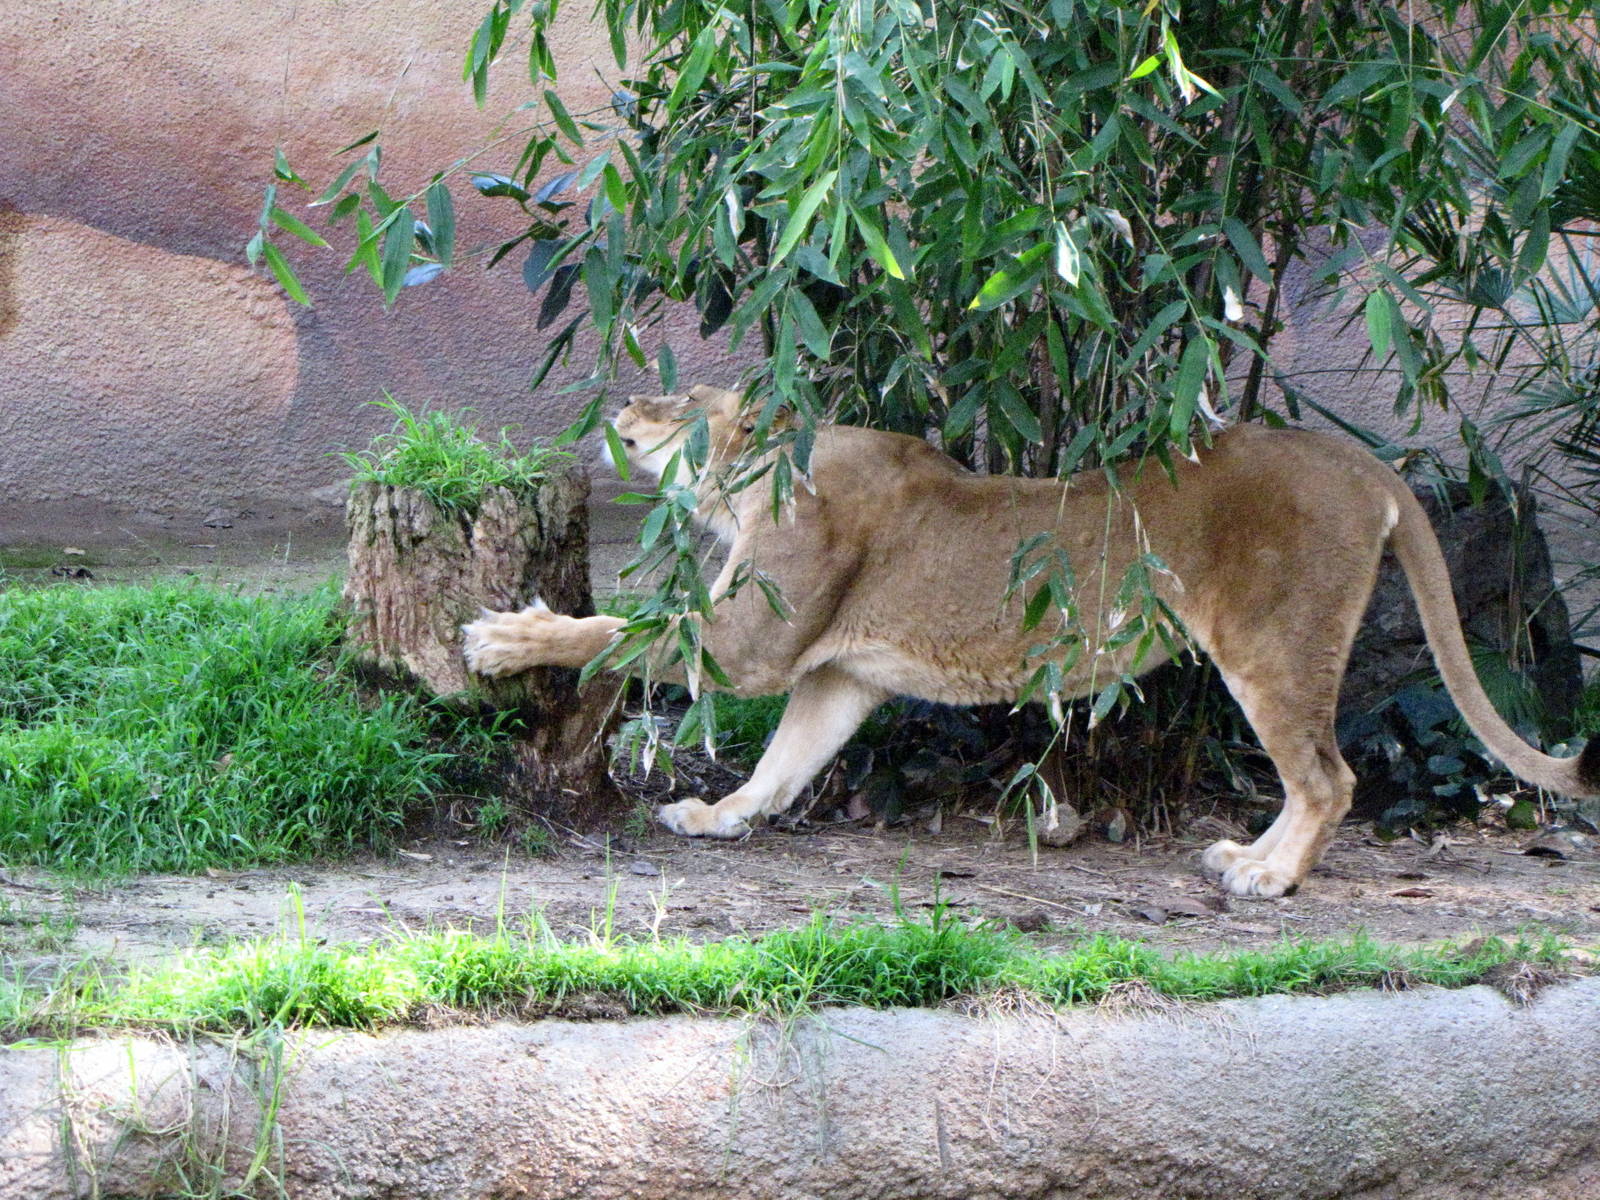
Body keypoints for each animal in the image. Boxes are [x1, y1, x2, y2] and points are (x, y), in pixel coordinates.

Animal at [462, 384, 1600, 897]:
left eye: (672, 402)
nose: (620, 403)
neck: (766, 473)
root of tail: (1363, 464)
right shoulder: (837, 676)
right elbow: (786, 763)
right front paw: (720, 817)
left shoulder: (754, 643)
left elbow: (619, 630)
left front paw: (503, 639)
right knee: (1311, 775)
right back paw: (1242, 856)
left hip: (1271, 640)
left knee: (1329, 776)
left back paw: (1268, 880)